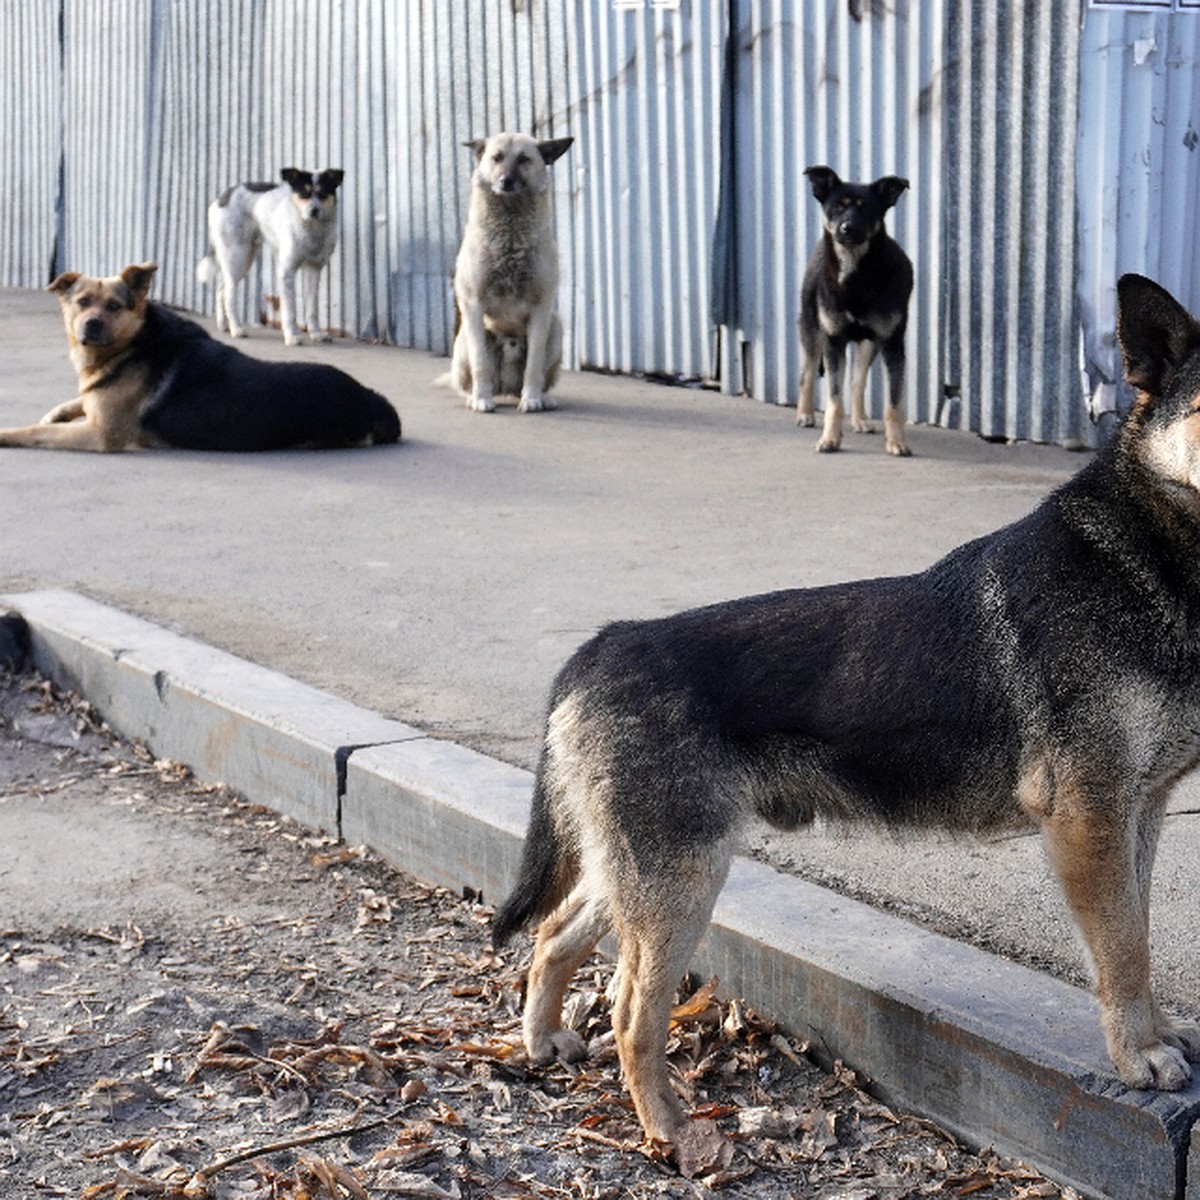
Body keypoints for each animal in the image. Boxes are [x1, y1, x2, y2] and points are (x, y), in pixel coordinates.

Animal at [0, 262, 403, 451]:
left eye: (114, 306)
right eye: (82, 302)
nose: (91, 326)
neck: (136, 341)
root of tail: (372, 399)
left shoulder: (101, 435)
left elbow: (36, 431)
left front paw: (9, 433)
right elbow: (74, 403)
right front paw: (59, 409)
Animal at [494, 272, 1200, 1152]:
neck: (1146, 552)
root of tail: (601, 645)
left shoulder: (1139, 814)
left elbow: (1138, 935)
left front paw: (1154, 1034)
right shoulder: (1089, 819)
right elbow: (1124, 946)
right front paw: (1138, 1056)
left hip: (639, 869)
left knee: (554, 933)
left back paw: (543, 1039)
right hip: (682, 881)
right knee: (630, 1013)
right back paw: (673, 1133)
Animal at [801, 164, 912, 453]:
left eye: (866, 208)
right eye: (837, 207)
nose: (846, 228)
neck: (856, 276)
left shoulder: (892, 343)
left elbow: (894, 402)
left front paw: (896, 442)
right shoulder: (833, 340)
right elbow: (834, 399)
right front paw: (829, 438)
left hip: (869, 343)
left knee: (857, 380)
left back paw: (860, 419)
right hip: (811, 329)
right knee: (807, 372)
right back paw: (804, 414)